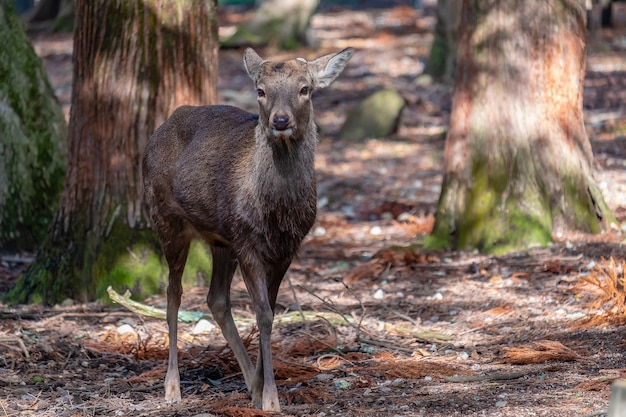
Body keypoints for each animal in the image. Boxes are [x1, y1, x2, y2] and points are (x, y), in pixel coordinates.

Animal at [143, 46, 354, 410]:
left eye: (305, 89)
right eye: (260, 90)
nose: (280, 120)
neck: (276, 213)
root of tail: (162, 126)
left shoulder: (286, 248)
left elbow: (267, 312)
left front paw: (259, 389)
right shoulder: (247, 242)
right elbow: (264, 314)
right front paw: (270, 398)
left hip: (221, 238)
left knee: (216, 298)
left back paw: (244, 383)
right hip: (167, 219)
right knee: (173, 295)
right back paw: (172, 387)